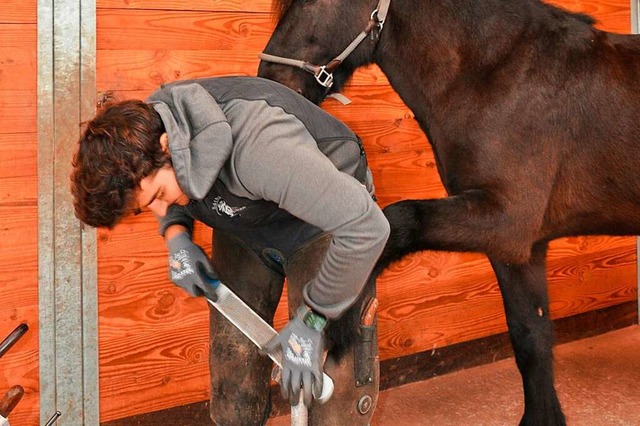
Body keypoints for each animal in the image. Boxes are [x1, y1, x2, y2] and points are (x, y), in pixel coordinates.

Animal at [258, 0, 640, 426]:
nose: (268, 79)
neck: (497, 75)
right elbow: (532, 338)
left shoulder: (506, 222)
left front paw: (335, 325)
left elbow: (398, 222)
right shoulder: (518, 250)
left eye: (311, 3)